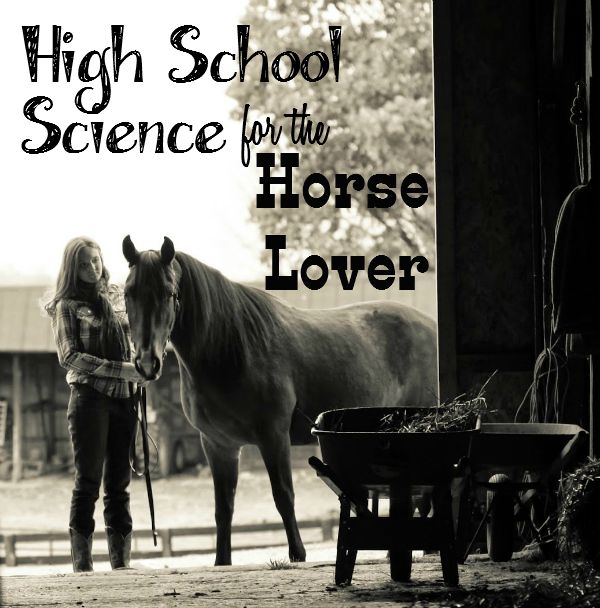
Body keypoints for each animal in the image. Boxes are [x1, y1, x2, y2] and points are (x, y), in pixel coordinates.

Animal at [120, 234, 436, 564]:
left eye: (169, 293)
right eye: (129, 292)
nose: (147, 362)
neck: (231, 349)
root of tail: (430, 325)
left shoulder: (273, 436)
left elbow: (283, 495)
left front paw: (298, 554)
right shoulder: (218, 445)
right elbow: (224, 508)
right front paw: (222, 561)